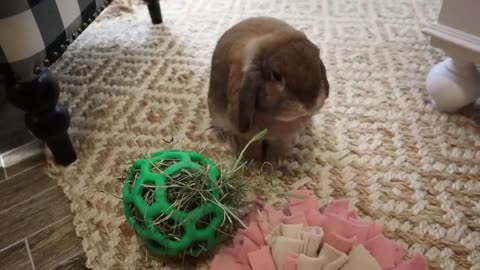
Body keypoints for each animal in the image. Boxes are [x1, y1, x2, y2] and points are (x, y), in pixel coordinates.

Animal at [207, 16, 330, 163]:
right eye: (276, 75)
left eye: (317, 62)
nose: (309, 104)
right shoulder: (246, 134)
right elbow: (251, 145)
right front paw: (252, 161)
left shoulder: (282, 137)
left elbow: (278, 145)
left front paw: (276, 160)